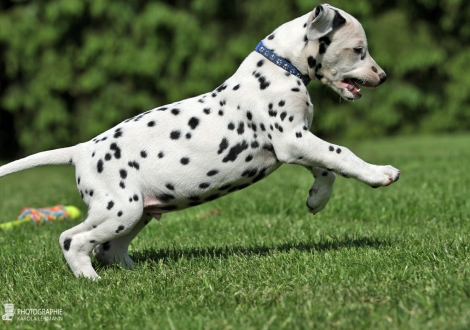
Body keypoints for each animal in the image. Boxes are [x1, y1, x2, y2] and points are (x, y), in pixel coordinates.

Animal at [0, 4, 398, 278]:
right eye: (358, 50)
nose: (382, 76)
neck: (279, 66)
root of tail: (80, 150)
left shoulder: (298, 143)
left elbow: (327, 168)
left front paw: (317, 199)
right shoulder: (293, 139)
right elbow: (341, 154)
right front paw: (379, 174)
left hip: (136, 213)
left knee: (108, 249)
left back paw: (132, 272)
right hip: (118, 210)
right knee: (73, 239)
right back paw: (90, 280)